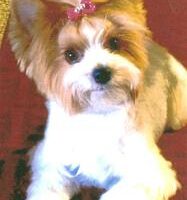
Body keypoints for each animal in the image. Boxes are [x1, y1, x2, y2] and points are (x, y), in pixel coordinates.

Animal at [8, 0, 187, 200]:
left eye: (114, 42)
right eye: (71, 55)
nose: (101, 73)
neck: (97, 112)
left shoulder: (149, 174)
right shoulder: (50, 164)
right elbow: (48, 186)